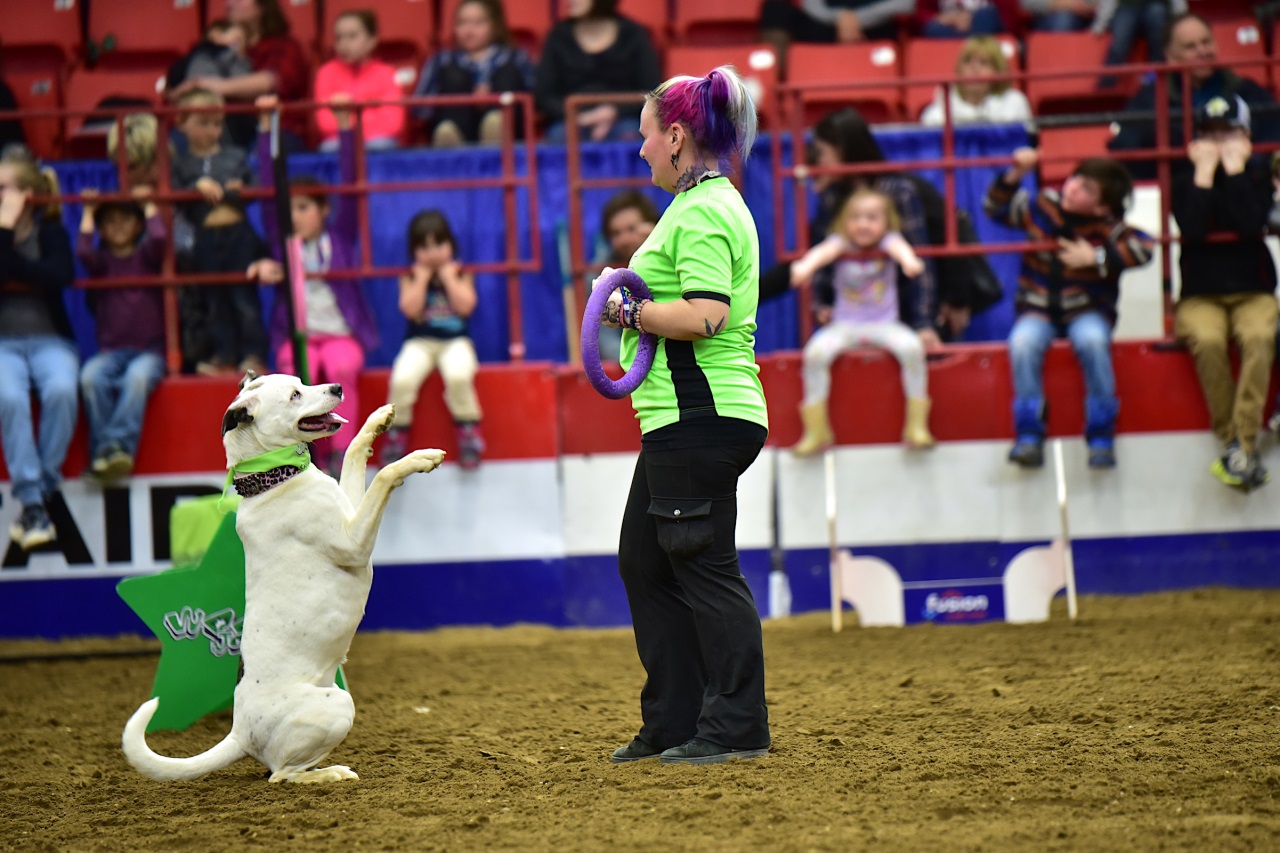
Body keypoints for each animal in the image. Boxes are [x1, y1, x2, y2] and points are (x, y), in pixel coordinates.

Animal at [122, 372, 445, 783]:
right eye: (294, 395)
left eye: (301, 382)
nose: (337, 388)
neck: (272, 478)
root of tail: (239, 732)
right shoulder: (353, 542)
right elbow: (384, 476)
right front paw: (420, 459)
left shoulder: (349, 508)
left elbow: (354, 455)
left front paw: (378, 421)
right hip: (338, 704)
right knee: (281, 774)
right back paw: (329, 774)